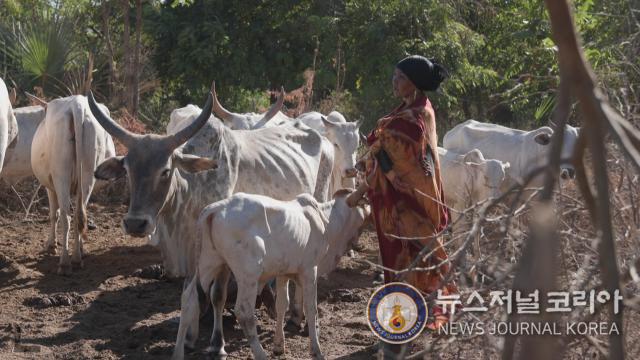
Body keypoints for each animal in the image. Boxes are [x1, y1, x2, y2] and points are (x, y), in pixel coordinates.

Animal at [31, 94, 115, 274]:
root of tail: (77, 105)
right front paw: (82, 249)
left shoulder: (50, 186)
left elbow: (53, 214)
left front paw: (51, 245)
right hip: (88, 175)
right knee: (78, 215)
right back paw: (77, 258)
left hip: (60, 175)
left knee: (65, 216)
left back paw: (65, 262)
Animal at [172, 190, 368, 360]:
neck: (325, 221)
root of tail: (215, 209)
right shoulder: (309, 270)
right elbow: (311, 309)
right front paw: (316, 350)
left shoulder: (284, 273)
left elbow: (282, 305)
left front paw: (279, 346)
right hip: (247, 275)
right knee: (244, 312)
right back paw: (260, 354)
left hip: (210, 263)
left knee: (189, 301)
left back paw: (178, 353)